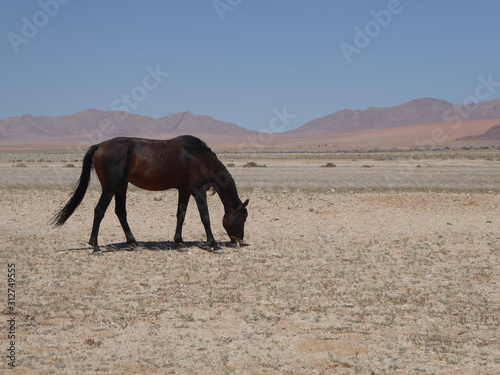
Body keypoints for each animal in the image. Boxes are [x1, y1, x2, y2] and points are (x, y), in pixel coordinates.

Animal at [51, 135, 249, 256]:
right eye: (243, 217)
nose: (239, 241)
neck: (201, 158)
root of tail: (99, 145)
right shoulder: (198, 190)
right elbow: (205, 217)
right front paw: (214, 244)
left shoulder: (184, 190)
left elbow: (181, 215)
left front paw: (179, 243)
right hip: (110, 187)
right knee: (99, 211)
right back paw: (96, 246)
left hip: (121, 186)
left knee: (120, 212)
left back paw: (134, 243)